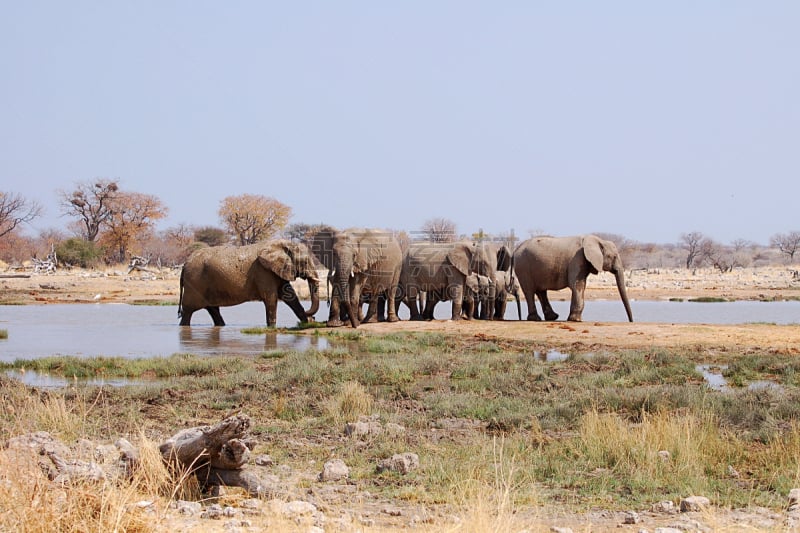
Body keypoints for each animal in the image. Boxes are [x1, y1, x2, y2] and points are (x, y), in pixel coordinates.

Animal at [177, 240, 318, 324]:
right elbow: (271, 298)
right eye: (305, 262)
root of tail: (184, 265)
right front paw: (272, 328)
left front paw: (307, 322)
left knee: (213, 310)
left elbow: (289, 295)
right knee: (188, 311)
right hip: (194, 283)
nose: (312, 316)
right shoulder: (263, 271)